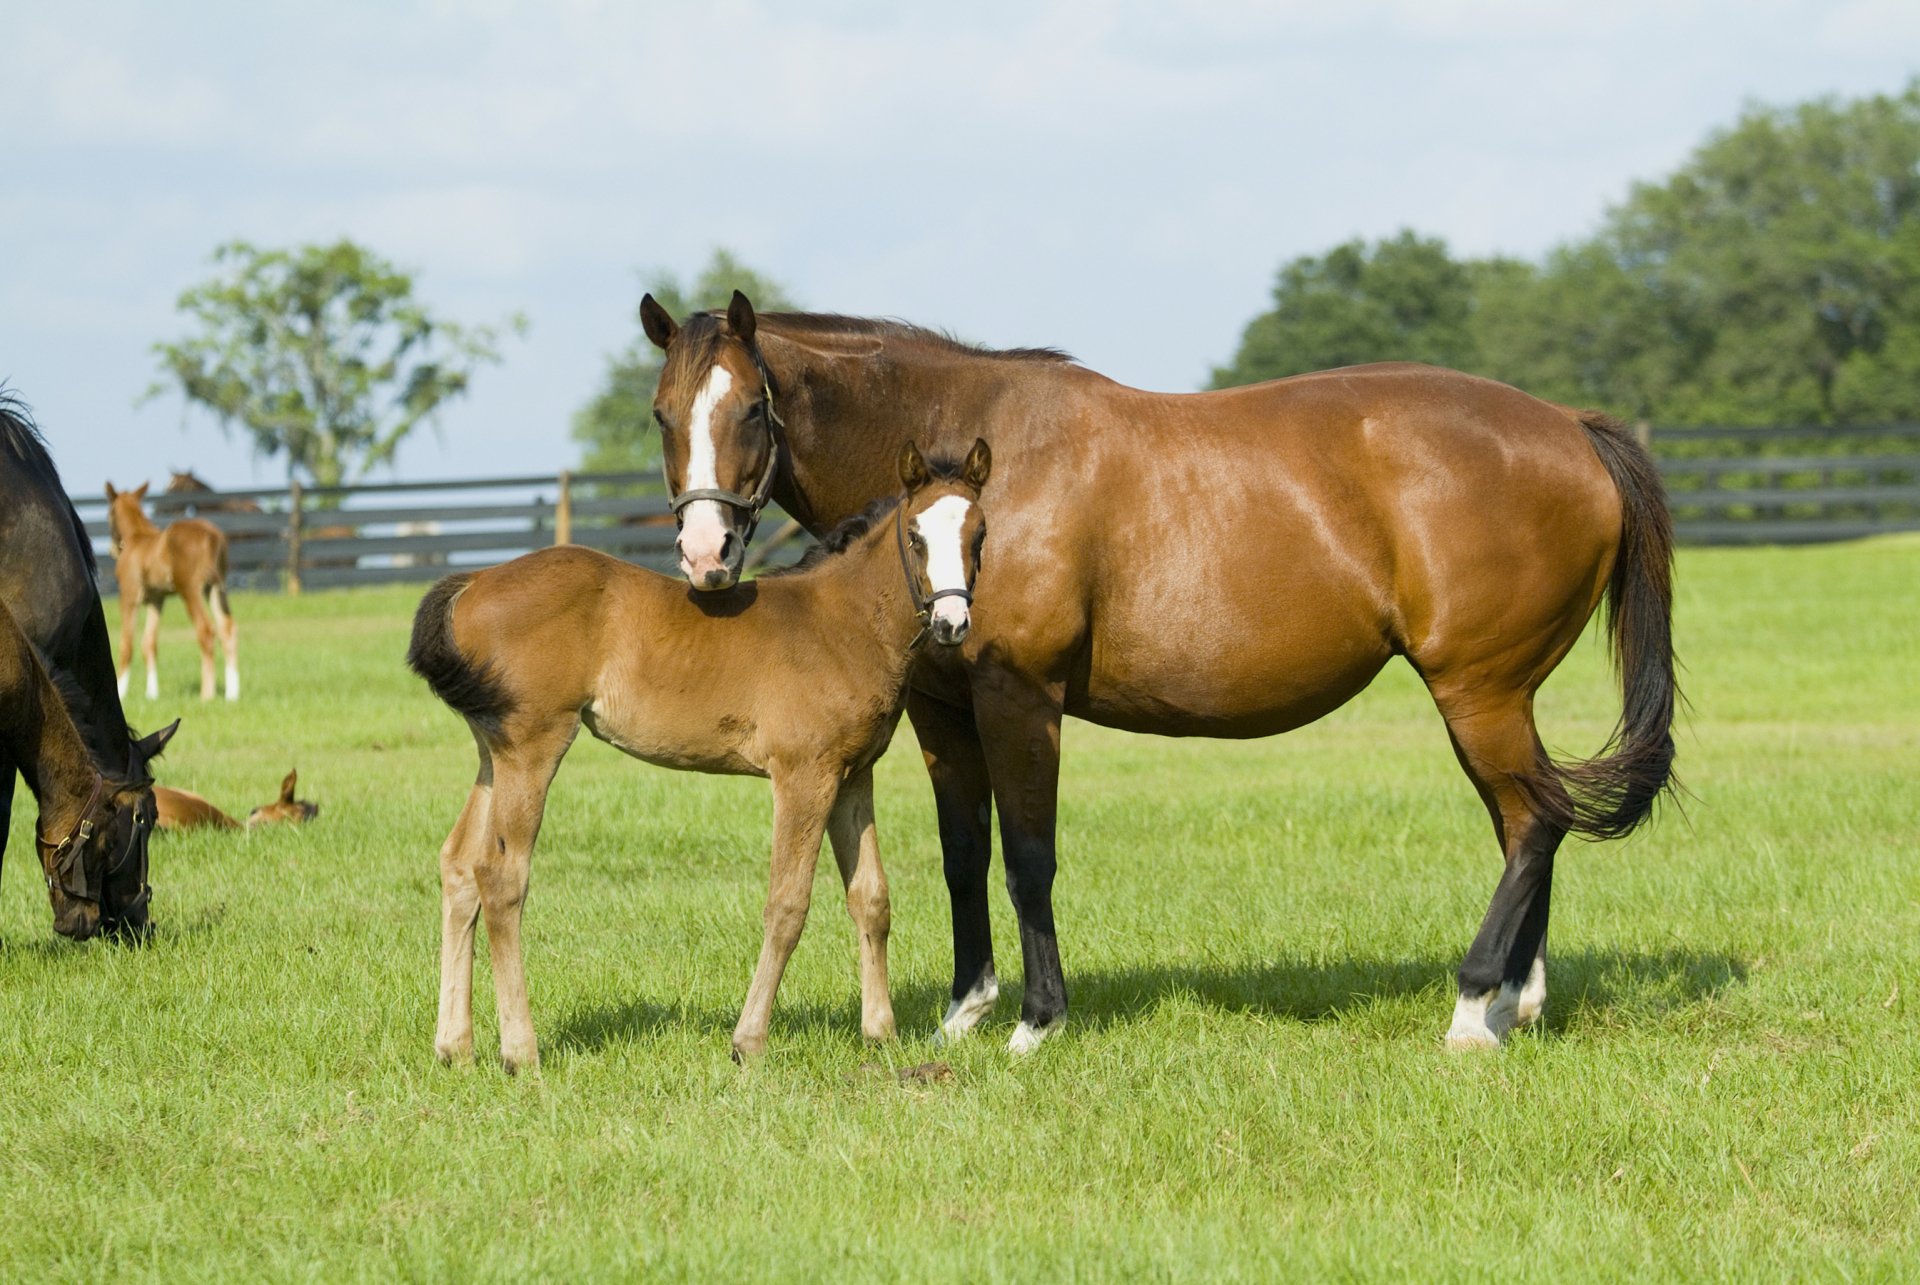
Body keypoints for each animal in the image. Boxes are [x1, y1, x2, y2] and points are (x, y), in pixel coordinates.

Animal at [105, 482, 240, 702]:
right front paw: (152, 695)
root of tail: (213, 535)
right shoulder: (156, 600)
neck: (137, 538)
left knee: (206, 630)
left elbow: (127, 644)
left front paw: (121, 693)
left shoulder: (129, 596)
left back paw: (207, 694)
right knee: (227, 628)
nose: (112, 549)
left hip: (190, 590)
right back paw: (232, 694)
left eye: (109, 513)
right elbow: (149, 643)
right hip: (216, 589)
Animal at [408, 439, 990, 1071]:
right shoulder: (803, 776)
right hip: (534, 745)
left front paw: (880, 1033)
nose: (951, 623)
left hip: (494, 754)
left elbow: (871, 898)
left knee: (458, 865)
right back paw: (520, 1049)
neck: (843, 623)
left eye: (979, 534)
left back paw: (454, 1045)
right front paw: (749, 1041)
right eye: (916, 535)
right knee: (500, 876)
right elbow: (787, 906)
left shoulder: (853, 777)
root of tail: (473, 581)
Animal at [637, 291, 1678, 1052]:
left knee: (1533, 822)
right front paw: (966, 1008)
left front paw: (1036, 1021)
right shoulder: (944, 711)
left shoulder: (1022, 698)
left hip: (1479, 690)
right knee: (1528, 821)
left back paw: (1472, 1006)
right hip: (1494, 698)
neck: (975, 464)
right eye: (660, 413)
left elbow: (1028, 856)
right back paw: (1514, 1002)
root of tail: (1572, 428)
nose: (705, 554)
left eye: (753, 407)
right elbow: (965, 853)